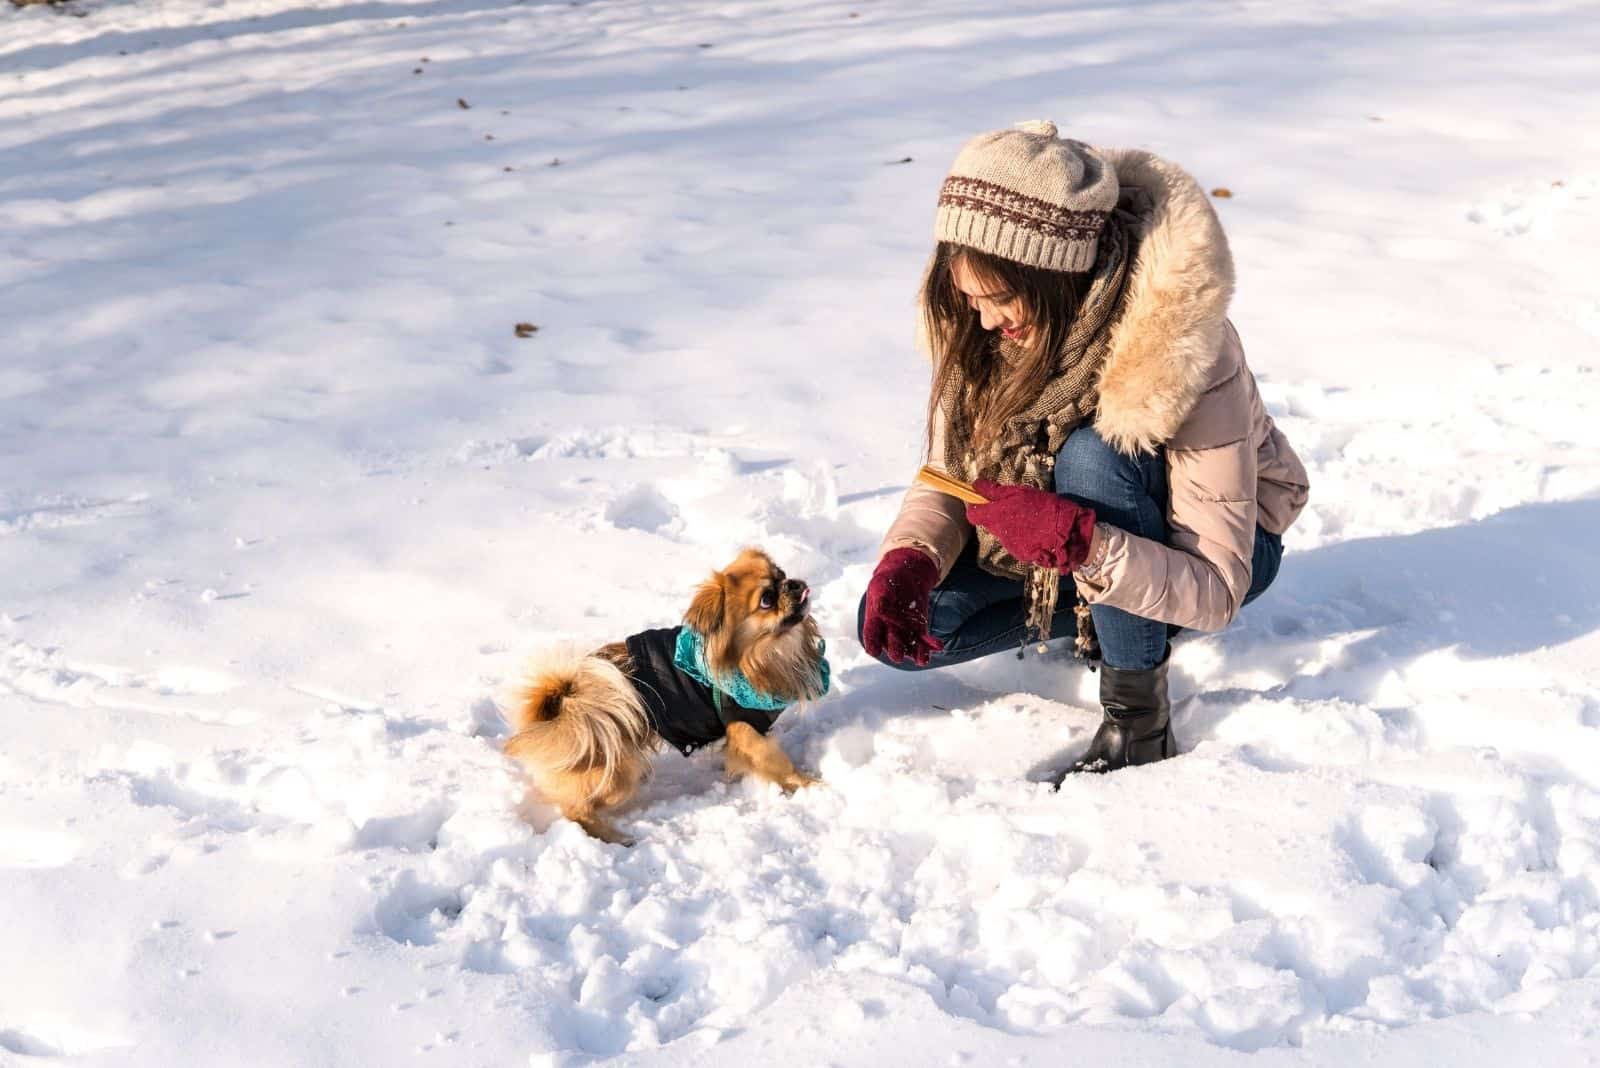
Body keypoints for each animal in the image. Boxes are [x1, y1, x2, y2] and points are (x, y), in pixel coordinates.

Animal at [502, 549, 832, 844]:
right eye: (766, 599)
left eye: (782, 574)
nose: (794, 584)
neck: (766, 653)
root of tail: (560, 709)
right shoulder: (746, 728)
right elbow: (779, 762)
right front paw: (812, 785)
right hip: (618, 775)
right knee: (575, 810)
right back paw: (616, 837)